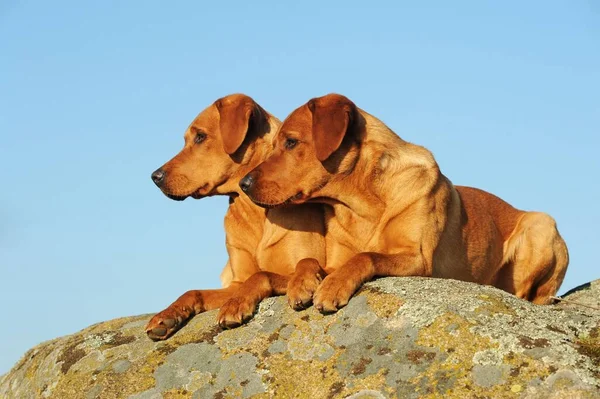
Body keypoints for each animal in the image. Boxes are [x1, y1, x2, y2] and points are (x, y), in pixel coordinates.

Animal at [145, 94, 326, 340]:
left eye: (200, 136)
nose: (155, 176)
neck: (254, 210)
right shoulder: (234, 282)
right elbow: (193, 291)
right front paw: (168, 314)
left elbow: (260, 275)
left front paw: (235, 304)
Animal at [239, 93, 568, 312]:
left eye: (291, 142)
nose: (244, 184)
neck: (361, 204)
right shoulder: (334, 259)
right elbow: (302, 262)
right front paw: (296, 283)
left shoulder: (418, 259)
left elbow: (367, 256)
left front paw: (333, 286)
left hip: (540, 225)